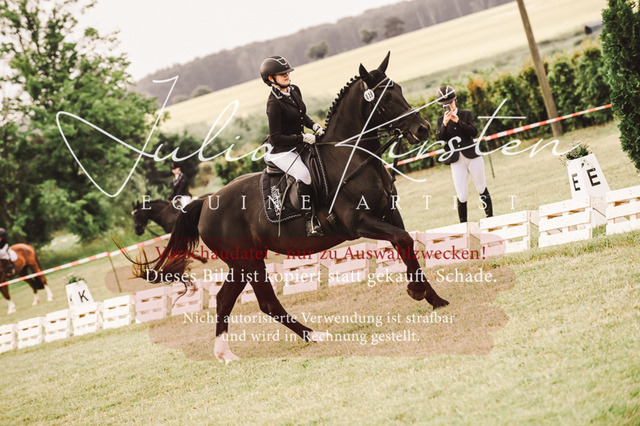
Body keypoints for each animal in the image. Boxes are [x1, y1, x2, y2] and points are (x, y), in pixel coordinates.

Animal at [126, 52, 449, 362]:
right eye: (385, 98)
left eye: (400, 90)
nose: (423, 129)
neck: (352, 156)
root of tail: (207, 202)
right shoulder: (359, 221)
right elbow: (402, 240)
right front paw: (417, 291)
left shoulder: (390, 213)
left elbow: (406, 244)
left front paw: (434, 299)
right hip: (248, 262)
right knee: (267, 302)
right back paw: (313, 335)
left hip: (243, 263)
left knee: (224, 300)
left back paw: (225, 353)